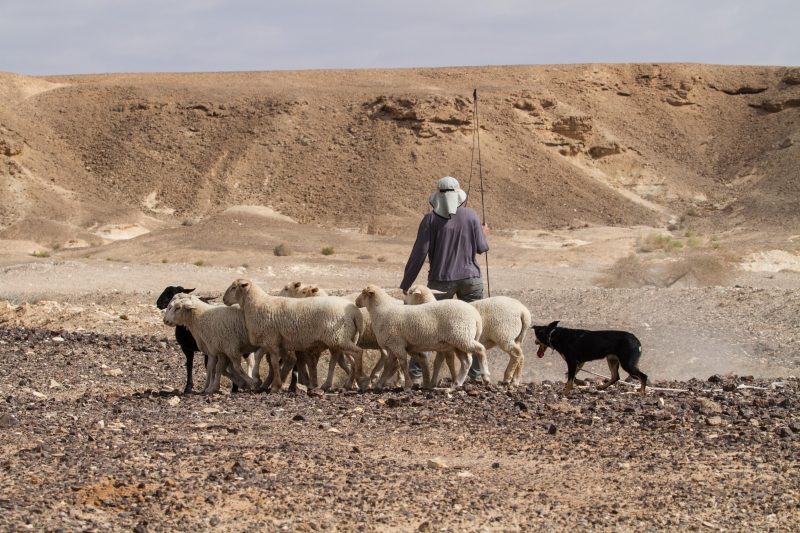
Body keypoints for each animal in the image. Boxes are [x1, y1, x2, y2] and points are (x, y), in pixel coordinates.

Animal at [223, 278, 364, 390]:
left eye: (234, 287)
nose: (224, 299)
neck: (257, 303)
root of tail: (355, 312)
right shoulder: (275, 341)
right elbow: (268, 359)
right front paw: (263, 381)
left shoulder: (271, 339)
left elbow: (273, 363)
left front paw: (275, 386)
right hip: (343, 339)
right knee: (350, 358)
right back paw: (349, 383)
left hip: (338, 338)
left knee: (358, 352)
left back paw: (361, 379)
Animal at [358, 284, 488, 388]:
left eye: (363, 293)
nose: (356, 302)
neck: (381, 310)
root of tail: (476, 316)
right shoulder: (394, 346)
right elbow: (390, 366)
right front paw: (379, 384)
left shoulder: (396, 344)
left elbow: (402, 364)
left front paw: (408, 385)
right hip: (459, 342)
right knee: (467, 361)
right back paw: (457, 383)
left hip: (462, 336)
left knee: (480, 349)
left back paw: (485, 376)